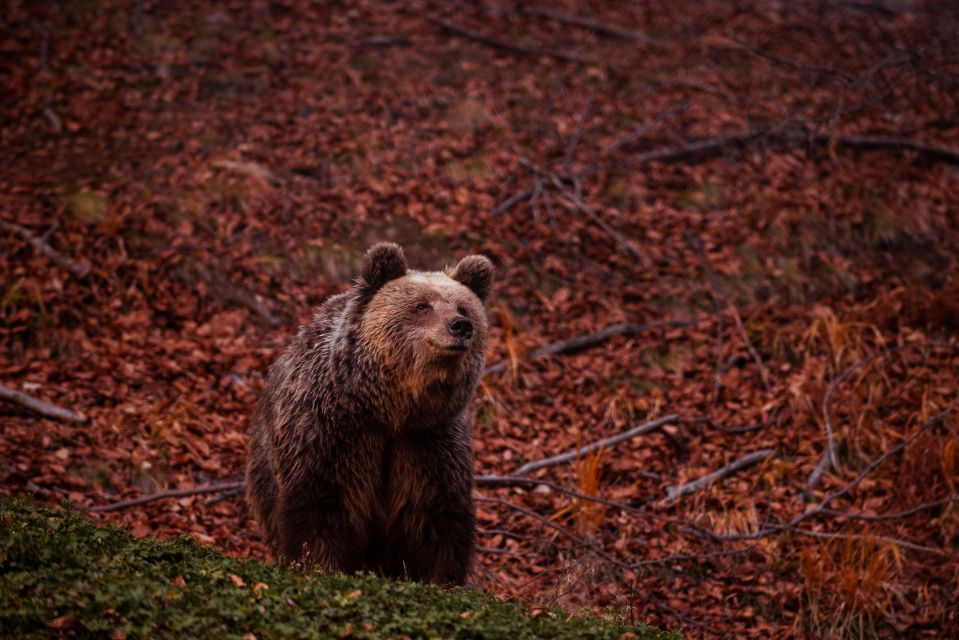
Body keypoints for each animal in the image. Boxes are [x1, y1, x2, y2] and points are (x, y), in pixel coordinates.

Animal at [246, 242, 493, 585]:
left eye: (464, 308)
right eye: (422, 306)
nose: (460, 326)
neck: (390, 410)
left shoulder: (428, 442)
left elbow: (436, 514)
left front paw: (440, 578)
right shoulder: (330, 430)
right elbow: (322, 504)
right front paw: (321, 565)